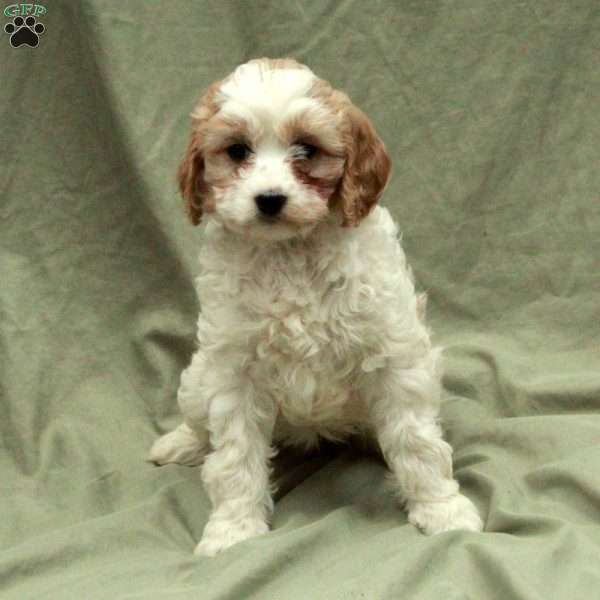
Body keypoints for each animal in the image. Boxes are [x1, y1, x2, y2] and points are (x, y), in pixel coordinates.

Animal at [150, 58, 482, 556]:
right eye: (238, 151)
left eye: (306, 149)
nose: (270, 199)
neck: (291, 251)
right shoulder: (234, 371)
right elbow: (234, 456)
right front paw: (233, 530)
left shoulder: (394, 355)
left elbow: (416, 441)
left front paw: (443, 510)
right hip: (197, 379)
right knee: (198, 424)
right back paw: (179, 444)